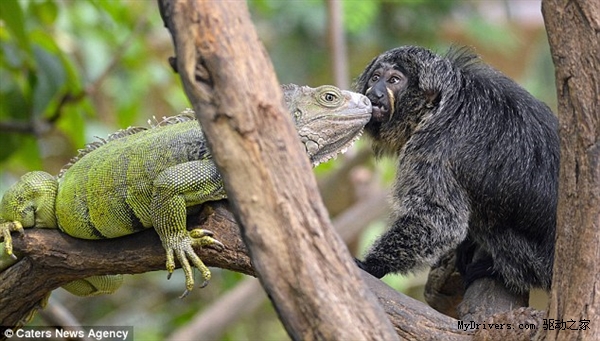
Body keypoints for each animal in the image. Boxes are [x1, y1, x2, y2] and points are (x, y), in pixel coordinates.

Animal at [354, 45, 560, 294]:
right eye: (375, 78)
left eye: (394, 80)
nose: (375, 93)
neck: (434, 108)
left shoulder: (432, 147)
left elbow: (440, 222)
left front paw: (372, 265)